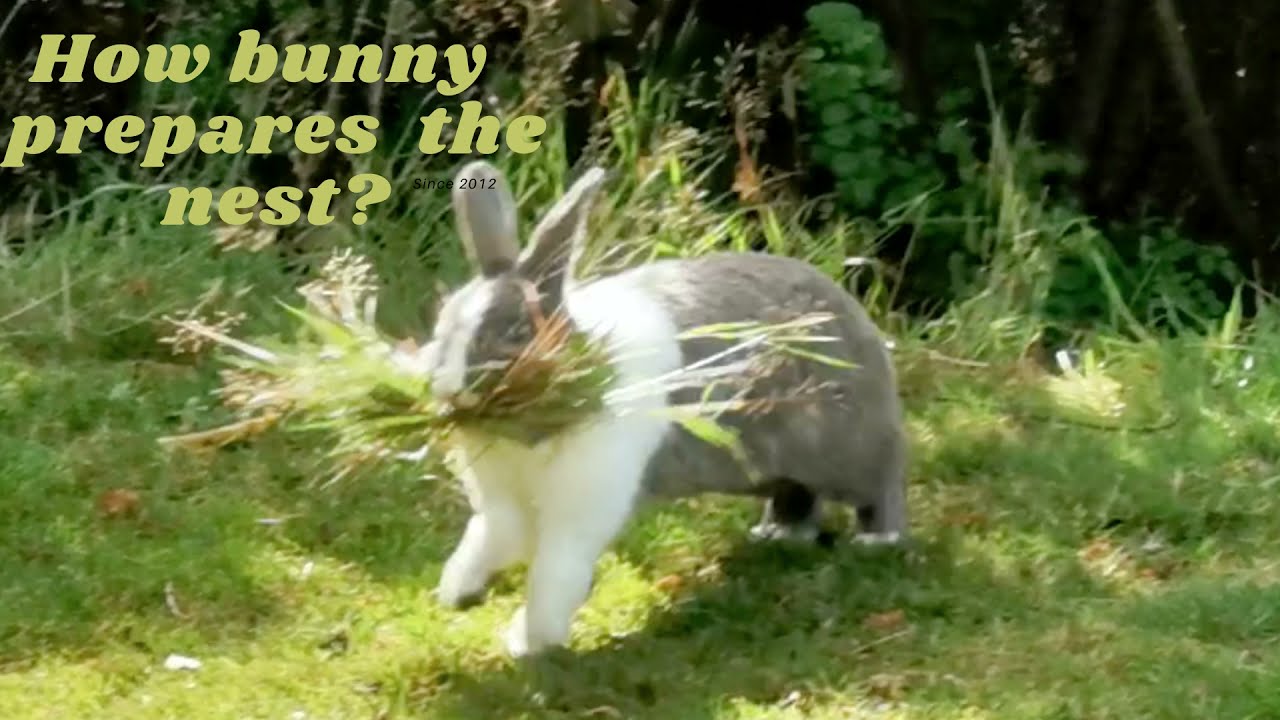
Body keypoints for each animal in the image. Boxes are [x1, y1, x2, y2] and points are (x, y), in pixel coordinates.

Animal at [409, 159, 908, 658]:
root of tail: (855, 320)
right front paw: (458, 592)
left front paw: (530, 644)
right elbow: (488, 540)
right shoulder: (503, 507)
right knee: (797, 496)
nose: (447, 389)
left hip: (848, 453)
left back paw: (878, 540)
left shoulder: (581, 508)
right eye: (442, 324)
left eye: (514, 332)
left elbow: (556, 573)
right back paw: (777, 535)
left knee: (880, 484)